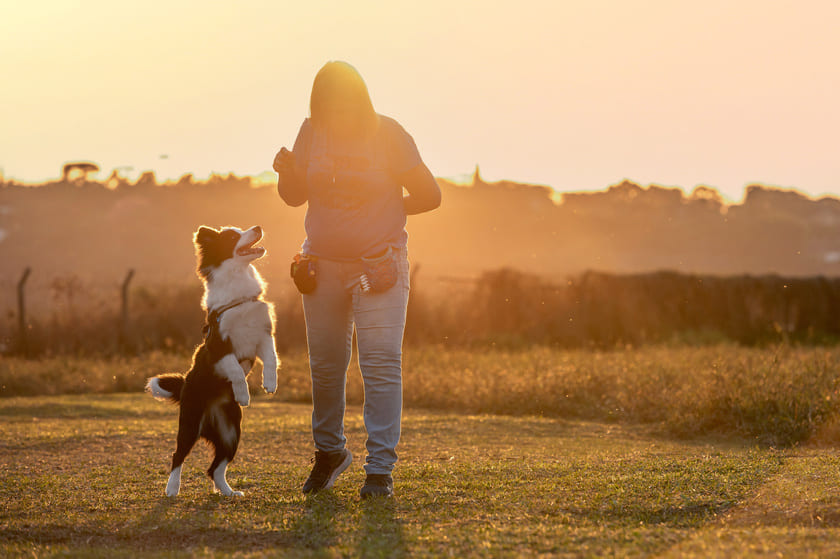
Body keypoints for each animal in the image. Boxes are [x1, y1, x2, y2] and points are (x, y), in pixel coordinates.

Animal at [144, 225, 276, 496]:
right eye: (233, 236)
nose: (258, 227)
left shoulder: (263, 336)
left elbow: (271, 359)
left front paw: (271, 383)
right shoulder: (219, 347)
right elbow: (235, 370)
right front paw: (243, 393)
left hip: (231, 432)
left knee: (215, 467)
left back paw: (228, 492)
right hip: (190, 424)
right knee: (178, 455)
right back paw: (172, 488)